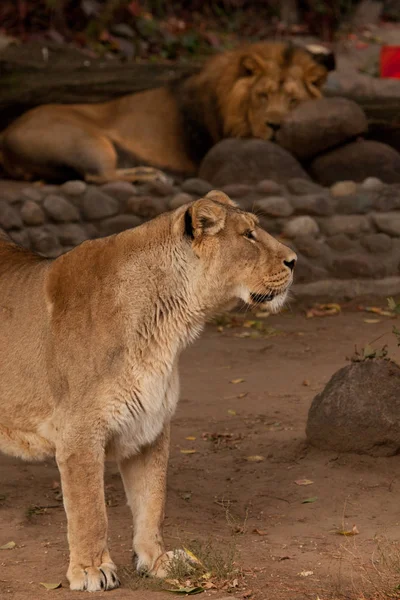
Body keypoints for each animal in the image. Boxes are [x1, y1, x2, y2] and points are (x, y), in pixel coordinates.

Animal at [0, 42, 334, 183]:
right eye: (262, 96)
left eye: (293, 101)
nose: (275, 126)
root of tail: (5, 134)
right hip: (88, 141)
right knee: (98, 176)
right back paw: (152, 176)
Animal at [0, 191, 296, 592]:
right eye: (248, 235)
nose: (294, 260)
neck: (171, 326)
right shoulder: (79, 432)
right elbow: (91, 509)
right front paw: (91, 570)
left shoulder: (149, 425)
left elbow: (152, 501)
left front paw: (157, 561)